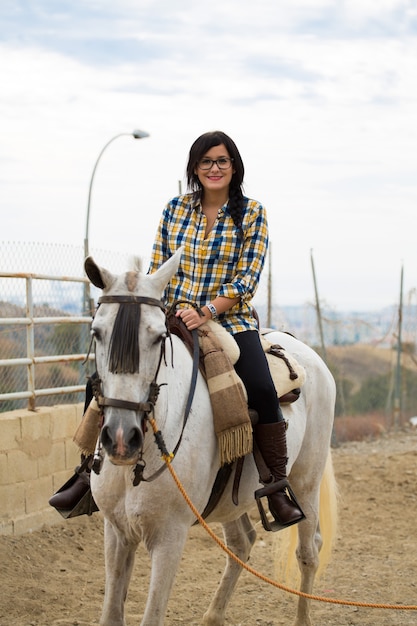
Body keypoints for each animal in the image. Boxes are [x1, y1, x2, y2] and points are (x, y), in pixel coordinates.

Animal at [86, 249, 336, 624]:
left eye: (158, 337)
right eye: (97, 332)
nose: (119, 438)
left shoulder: (169, 539)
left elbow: (152, 615)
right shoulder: (116, 533)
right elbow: (111, 615)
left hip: (306, 483)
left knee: (309, 551)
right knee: (242, 543)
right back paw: (212, 616)